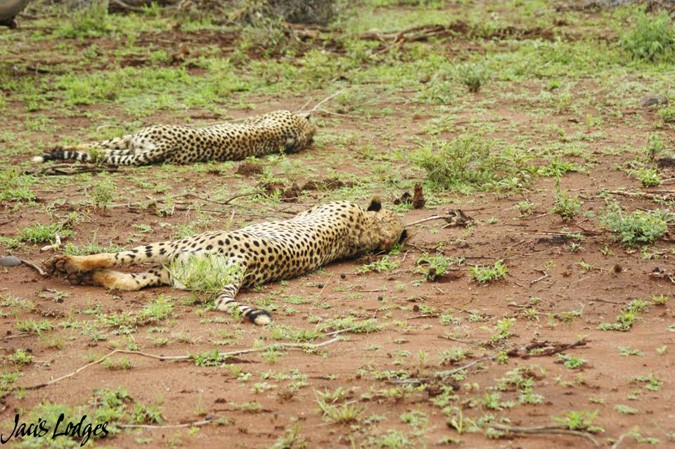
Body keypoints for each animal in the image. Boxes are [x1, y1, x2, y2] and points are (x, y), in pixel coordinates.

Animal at [48, 198, 406, 324]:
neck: (366, 229)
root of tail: (242, 266)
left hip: (173, 248)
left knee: (119, 258)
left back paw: (69, 263)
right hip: (173, 269)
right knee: (128, 281)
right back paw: (92, 277)